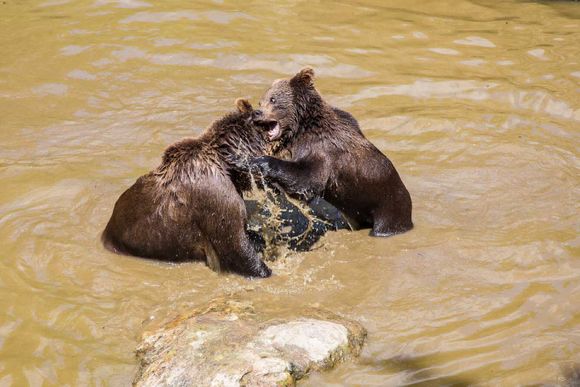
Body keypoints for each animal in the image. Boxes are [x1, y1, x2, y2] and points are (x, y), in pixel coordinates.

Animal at [249, 68, 412, 238]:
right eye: (261, 101)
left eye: (273, 99)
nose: (256, 113)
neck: (300, 129)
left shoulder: (323, 151)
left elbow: (307, 179)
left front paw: (260, 162)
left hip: (388, 204)